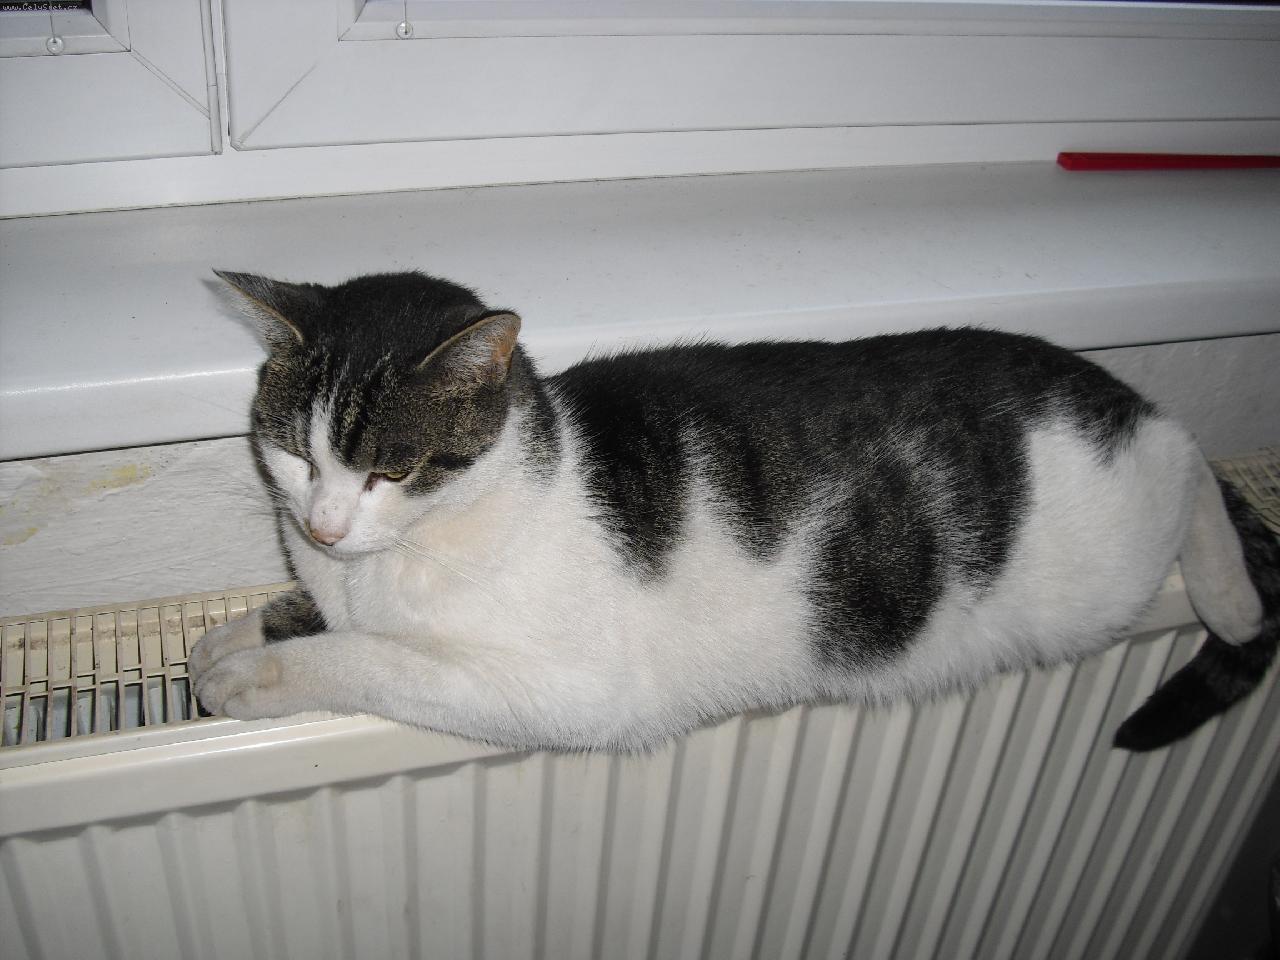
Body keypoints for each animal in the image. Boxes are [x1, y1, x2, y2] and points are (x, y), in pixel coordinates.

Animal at [189, 270, 1279, 752]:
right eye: (294, 453)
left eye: (394, 468)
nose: (324, 527)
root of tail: (1104, 386)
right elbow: (312, 615)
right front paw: (226, 636)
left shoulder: (564, 689)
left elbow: (375, 660)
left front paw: (255, 673)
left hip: (1112, 545)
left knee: (1192, 465)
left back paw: (1228, 592)